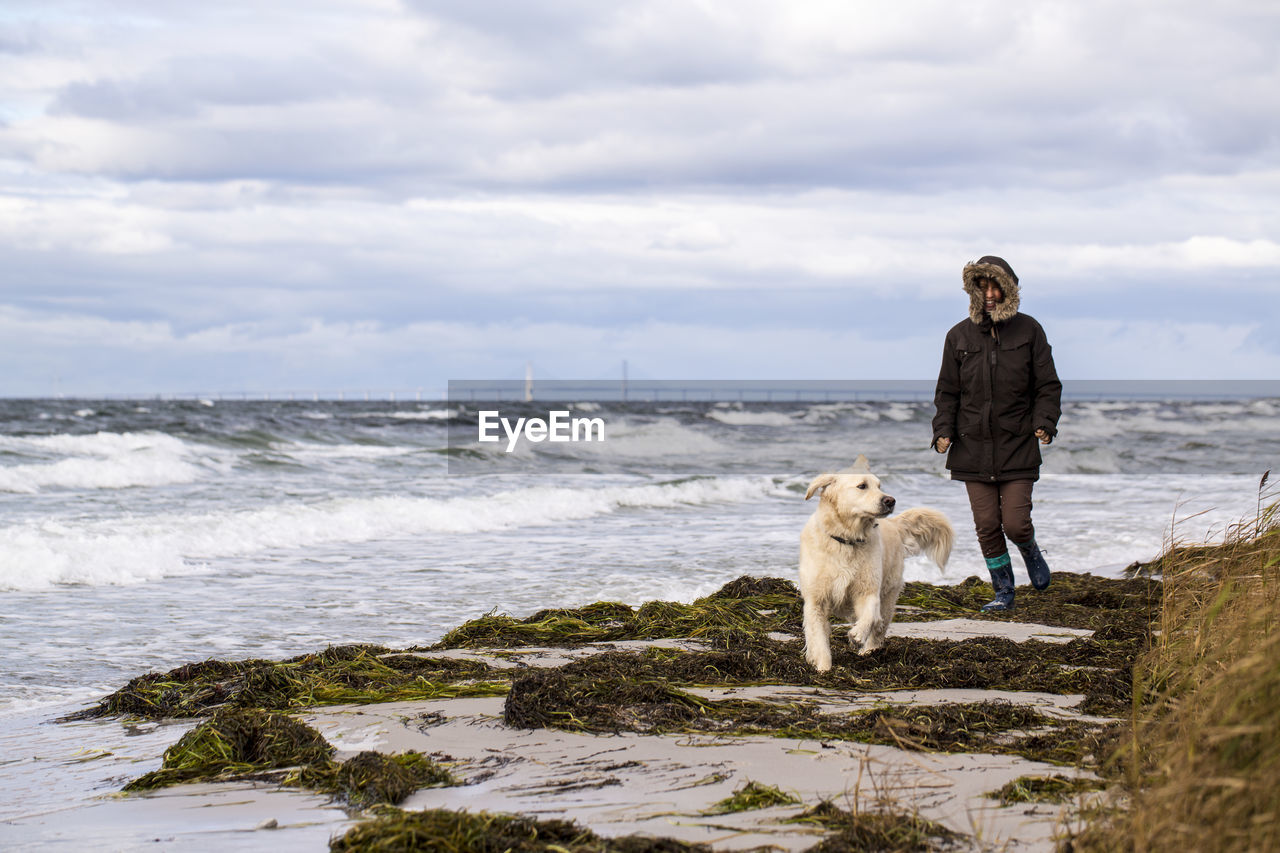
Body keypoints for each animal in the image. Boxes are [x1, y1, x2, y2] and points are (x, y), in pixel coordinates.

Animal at [798, 455, 952, 666]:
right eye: (862, 486)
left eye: (879, 485)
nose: (890, 500)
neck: (846, 540)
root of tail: (894, 525)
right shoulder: (816, 600)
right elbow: (819, 640)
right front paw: (823, 668)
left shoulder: (868, 588)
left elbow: (870, 613)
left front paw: (857, 635)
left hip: (889, 592)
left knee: (879, 624)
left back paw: (869, 651)